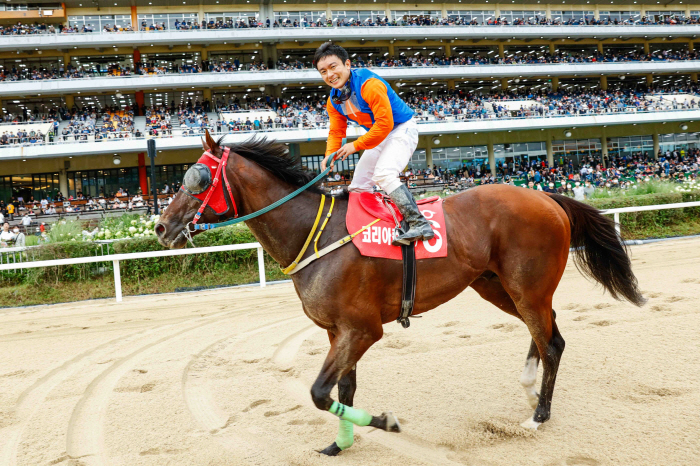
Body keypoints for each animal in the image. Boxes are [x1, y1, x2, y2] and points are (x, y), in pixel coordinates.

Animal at [154, 130, 644, 456]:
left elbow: (320, 393)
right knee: (545, 332)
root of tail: (547, 197)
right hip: (498, 286)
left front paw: (384, 423)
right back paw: (528, 389)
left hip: (527, 286)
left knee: (552, 341)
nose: (161, 227)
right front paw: (340, 444)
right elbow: (344, 388)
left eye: (197, 178)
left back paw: (538, 415)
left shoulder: (362, 329)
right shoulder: (338, 331)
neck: (315, 234)